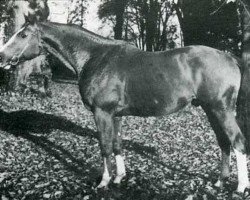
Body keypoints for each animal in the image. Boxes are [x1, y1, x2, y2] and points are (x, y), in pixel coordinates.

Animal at [0, 21, 249, 194]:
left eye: (22, 35)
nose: (1, 56)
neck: (95, 56)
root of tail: (229, 57)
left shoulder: (101, 113)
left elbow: (105, 147)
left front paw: (104, 181)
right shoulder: (116, 115)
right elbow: (118, 145)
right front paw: (120, 177)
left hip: (221, 109)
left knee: (237, 142)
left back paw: (240, 187)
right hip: (210, 110)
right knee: (224, 143)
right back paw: (219, 181)